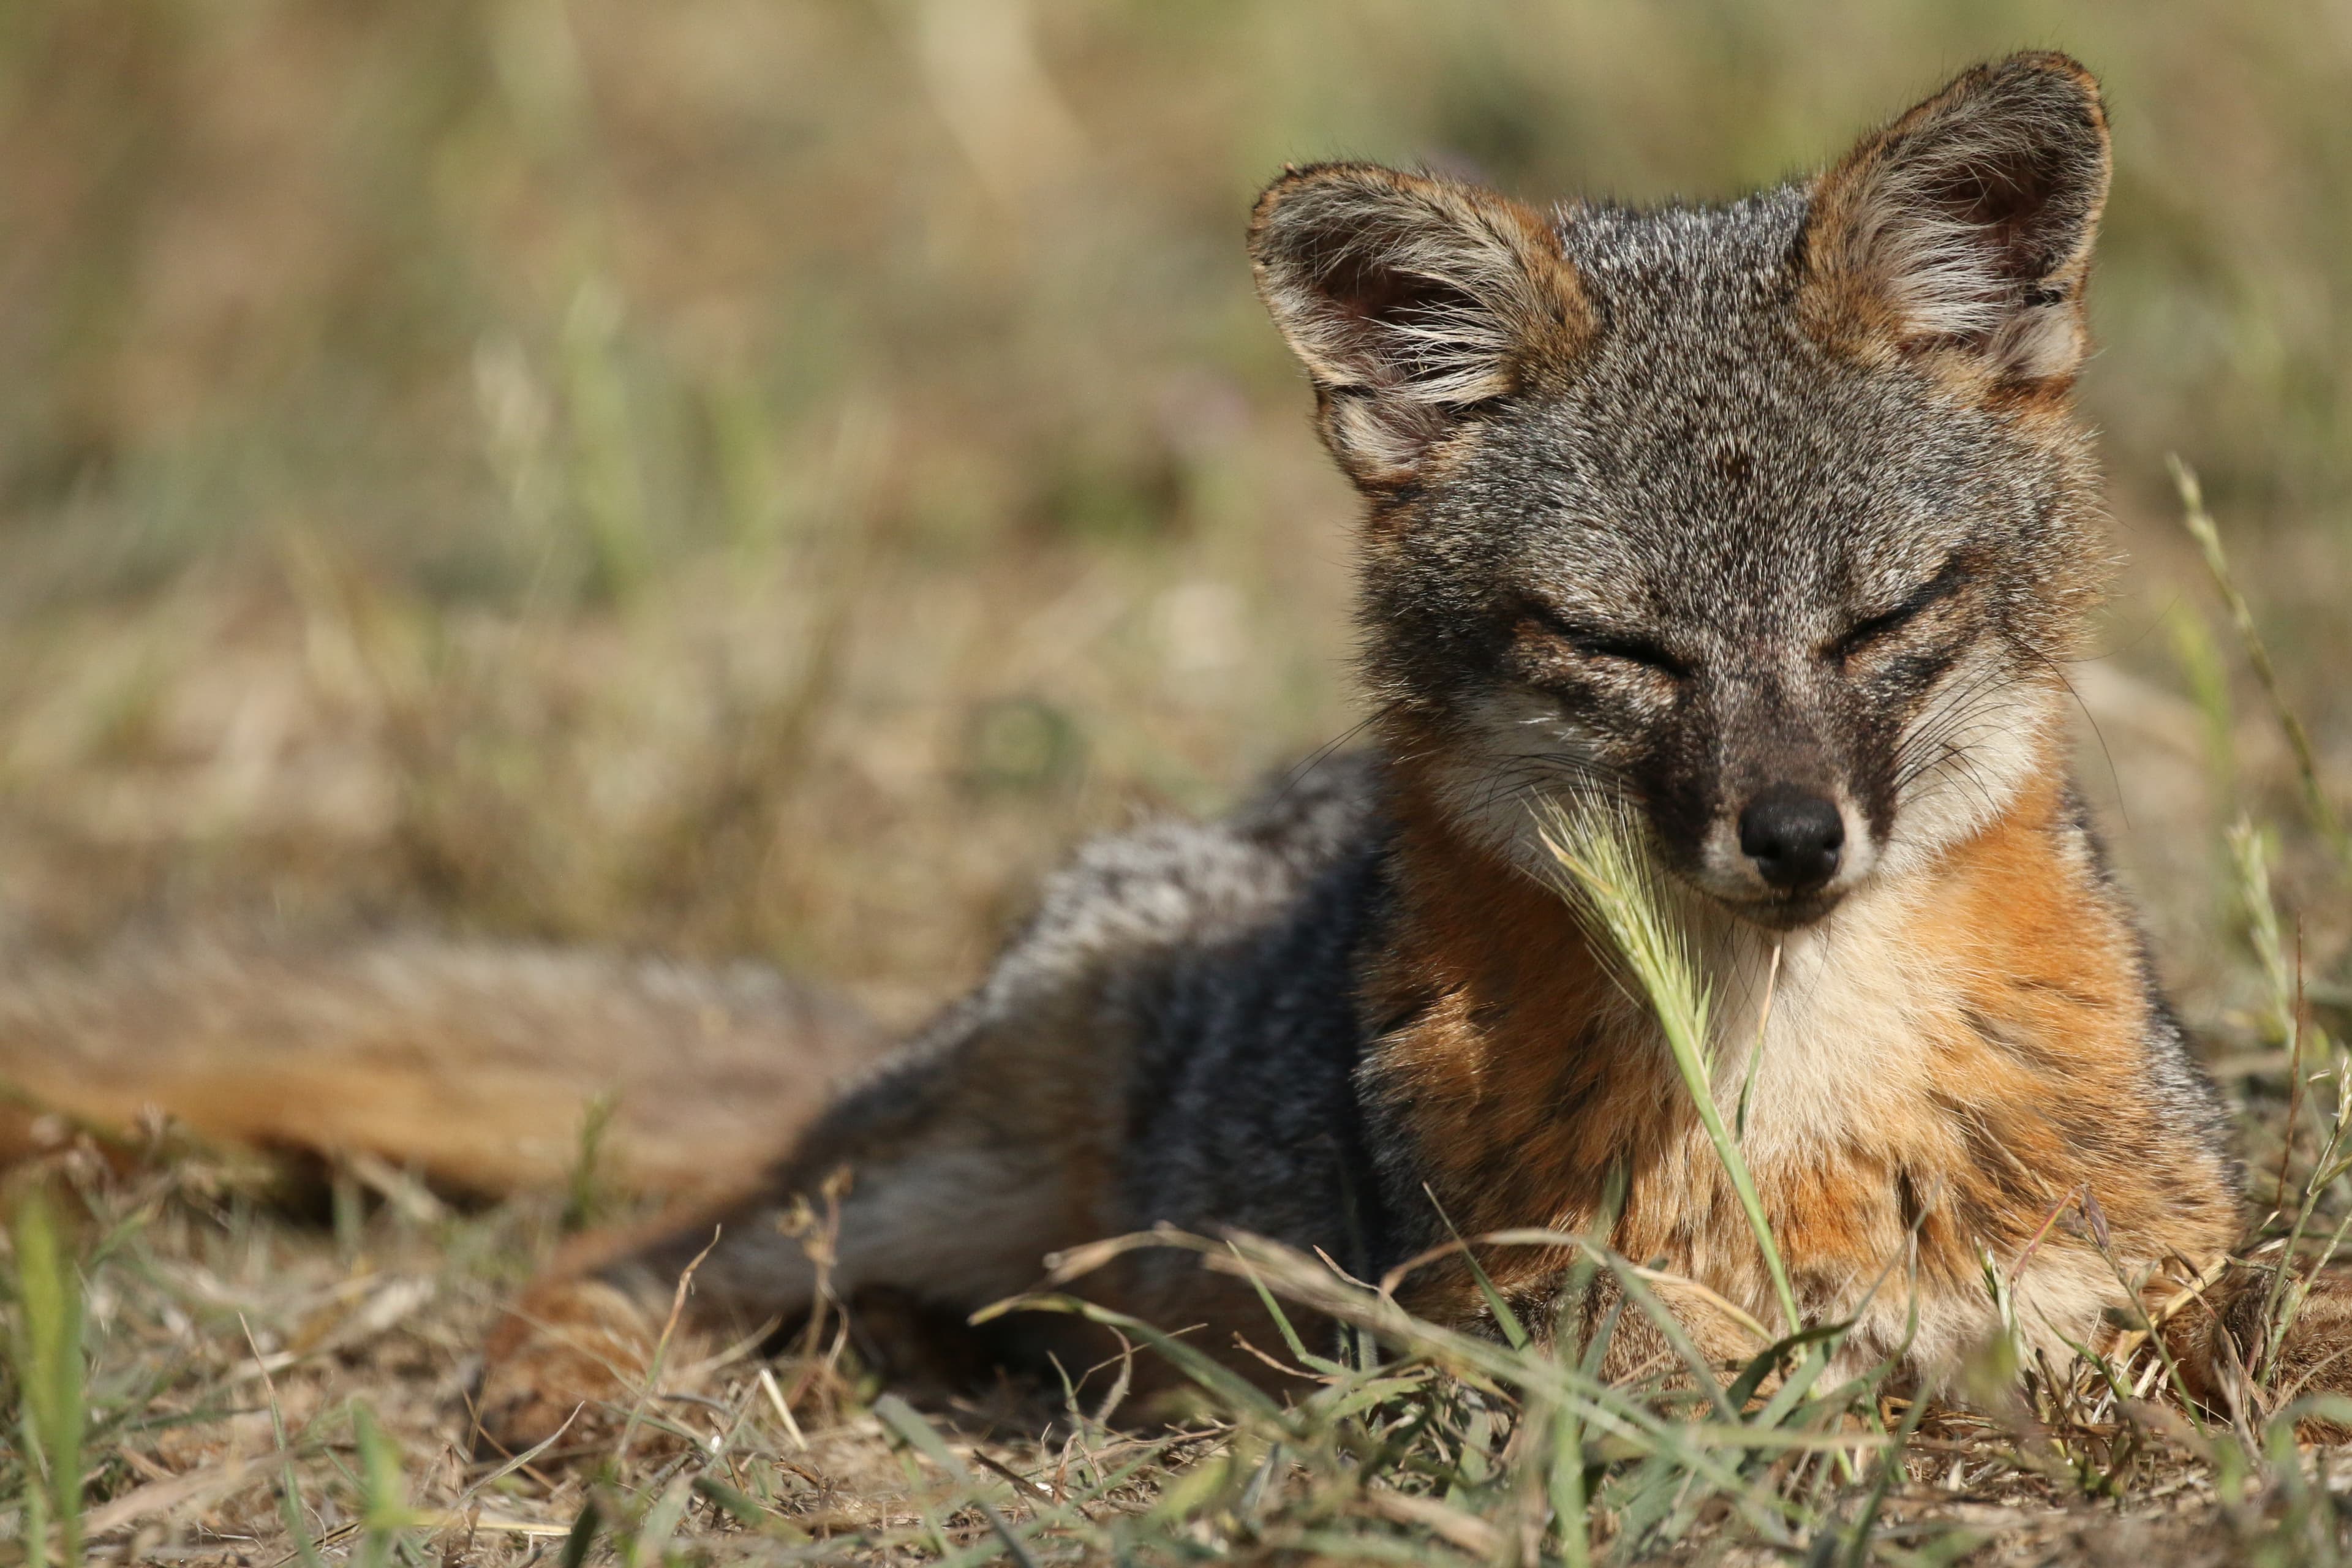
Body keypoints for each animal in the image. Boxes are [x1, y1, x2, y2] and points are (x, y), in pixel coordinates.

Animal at [2, 52, 2339, 1444]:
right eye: (1620, 648)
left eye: (1880, 622)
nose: (1790, 837)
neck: (1806, 1085)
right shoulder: (1528, 1348)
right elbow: (1728, 1377)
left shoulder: (2163, 1276)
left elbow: (2178, 1335)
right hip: (925, 1176)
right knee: (632, 1248)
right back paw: (608, 1389)